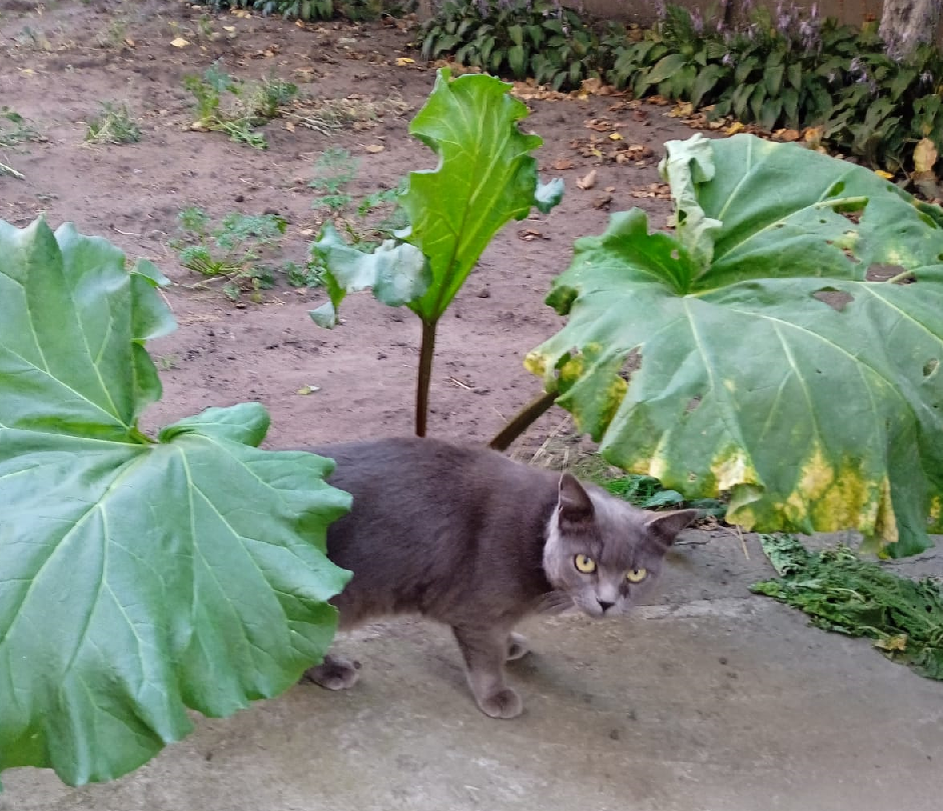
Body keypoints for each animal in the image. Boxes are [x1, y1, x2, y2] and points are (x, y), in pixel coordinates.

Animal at [306, 440, 696, 720]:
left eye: (636, 573)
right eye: (584, 563)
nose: (606, 601)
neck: (536, 539)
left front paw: (510, 644)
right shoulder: (477, 611)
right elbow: (485, 657)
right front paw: (496, 695)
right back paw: (332, 670)